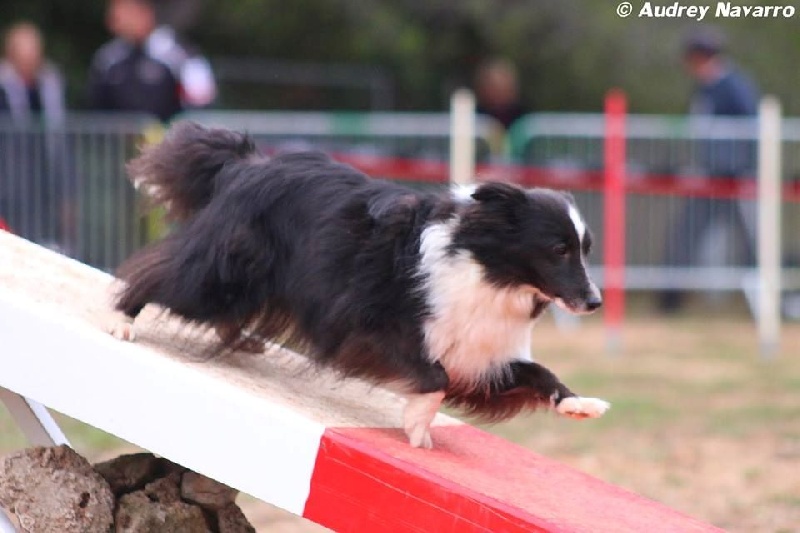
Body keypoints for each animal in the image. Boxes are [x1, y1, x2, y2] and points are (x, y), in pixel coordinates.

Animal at [112, 120, 608, 444]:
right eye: (557, 249)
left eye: (585, 248)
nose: (595, 302)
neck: (488, 272)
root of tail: (247, 165)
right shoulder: (367, 321)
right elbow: (435, 374)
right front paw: (416, 425)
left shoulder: (480, 353)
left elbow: (532, 372)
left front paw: (579, 405)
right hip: (224, 273)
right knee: (162, 276)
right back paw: (122, 320)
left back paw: (242, 340)